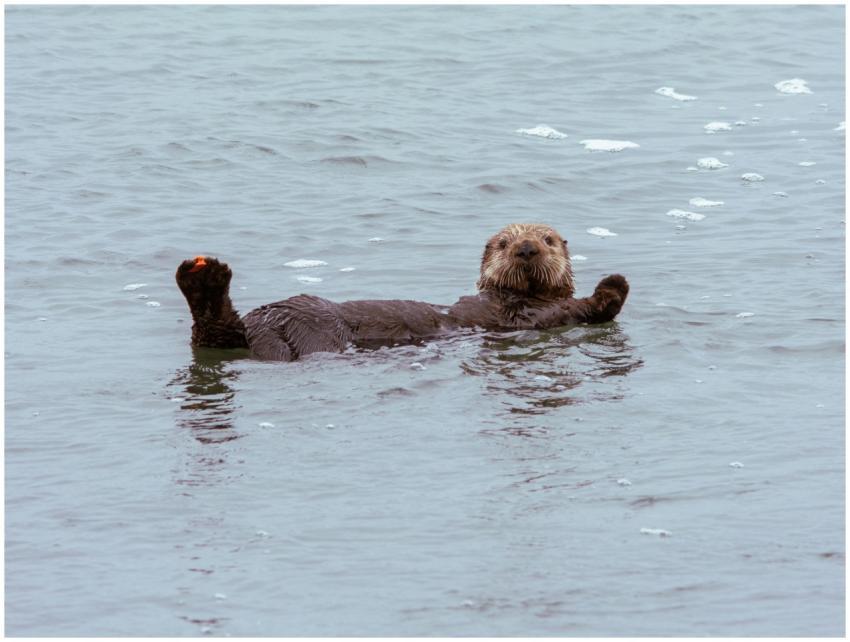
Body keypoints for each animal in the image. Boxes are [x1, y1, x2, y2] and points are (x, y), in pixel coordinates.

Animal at [175, 223, 629, 361]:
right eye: (504, 243)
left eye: (548, 240)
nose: (527, 248)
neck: (519, 297)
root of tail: (264, 323)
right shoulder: (526, 316)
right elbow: (577, 308)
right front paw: (615, 284)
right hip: (314, 328)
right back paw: (205, 276)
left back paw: (202, 278)